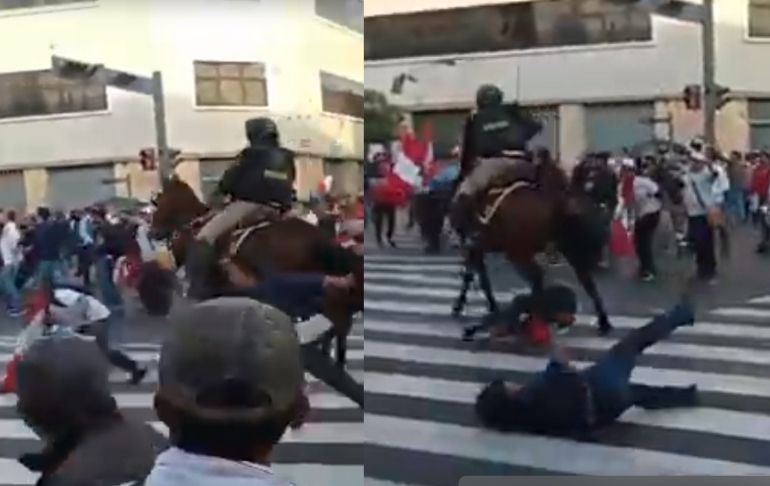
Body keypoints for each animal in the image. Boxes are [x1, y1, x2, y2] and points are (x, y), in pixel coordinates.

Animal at [450, 161, 612, 336]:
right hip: (552, 251)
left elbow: (473, 275)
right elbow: (478, 275)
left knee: (538, 277)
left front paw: (463, 305)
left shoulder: (480, 247)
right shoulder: (480, 247)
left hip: (518, 252)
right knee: (583, 282)